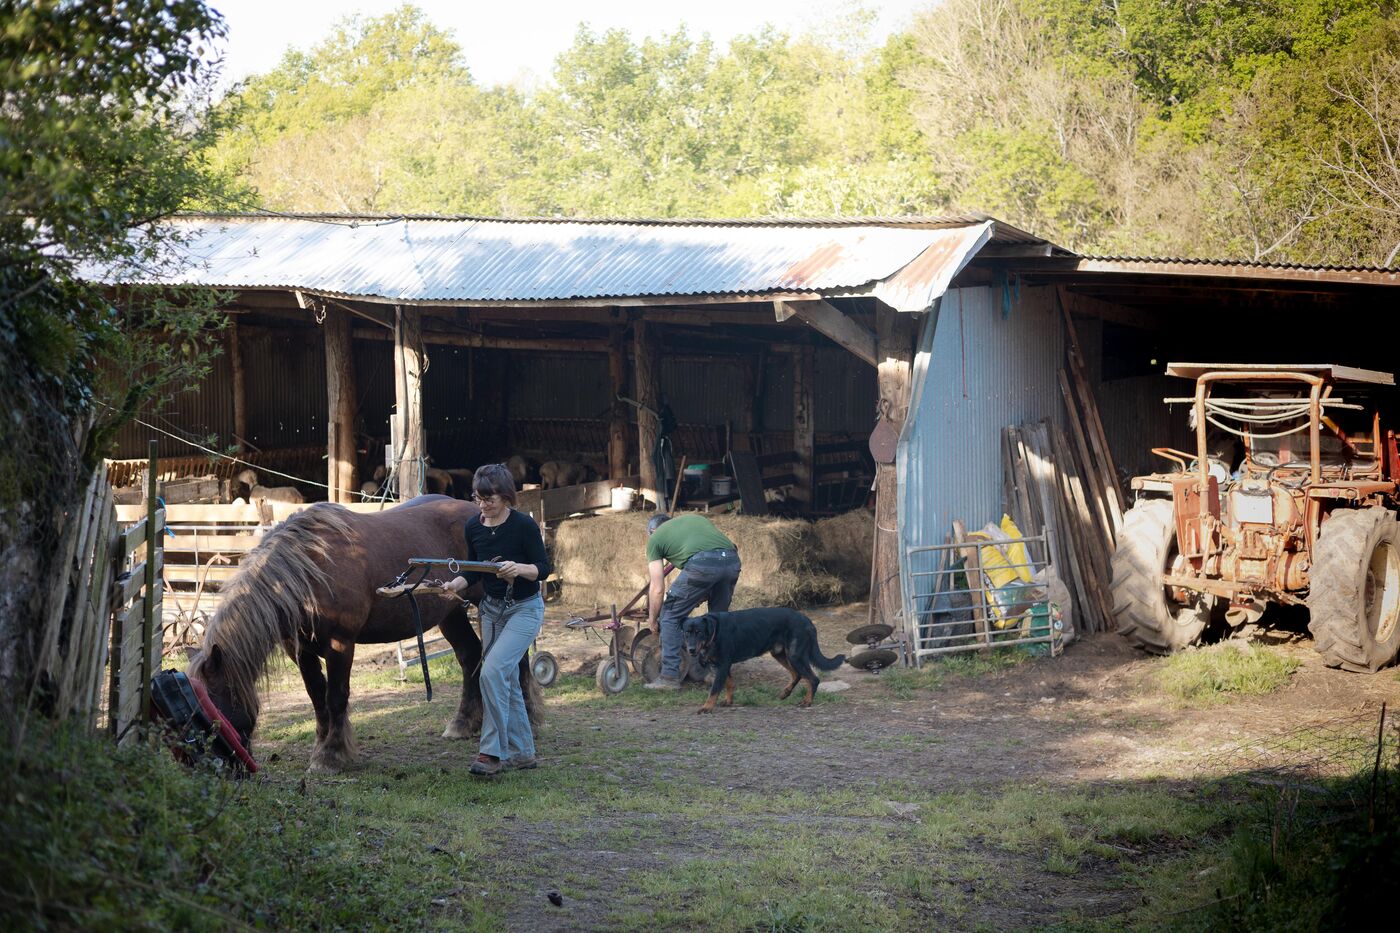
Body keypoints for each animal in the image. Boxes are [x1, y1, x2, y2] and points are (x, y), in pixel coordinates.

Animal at [187, 495, 543, 772]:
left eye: (212, 703)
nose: (209, 759)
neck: (311, 570)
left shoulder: (340, 643)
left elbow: (335, 696)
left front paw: (330, 755)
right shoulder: (299, 649)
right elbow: (317, 697)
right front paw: (322, 746)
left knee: (515, 660)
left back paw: (526, 717)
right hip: (450, 613)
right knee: (470, 657)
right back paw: (462, 724)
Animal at [681, 608, 846, 713]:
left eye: (699, 632)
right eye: (687, 633)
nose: (690, 649)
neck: (714, 632)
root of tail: (808, 621)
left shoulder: (722, 665)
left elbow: (715, 689)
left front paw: (707, 707)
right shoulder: (722, 666)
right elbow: (729, 684)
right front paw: (728, 702)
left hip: (795, 655)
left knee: (813, 679)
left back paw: (807, 702)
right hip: (780, 654)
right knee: (797, 674)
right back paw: (785, 693)